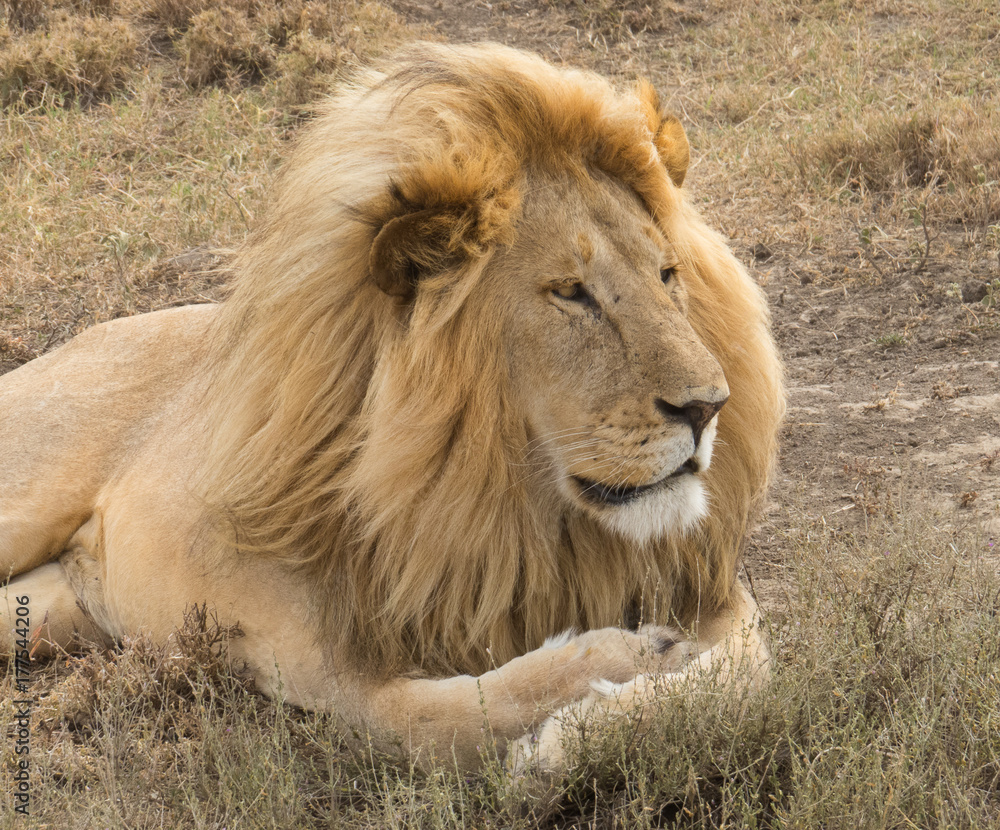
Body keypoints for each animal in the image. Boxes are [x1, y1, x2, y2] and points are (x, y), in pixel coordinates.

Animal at [1, 44, 780, 772]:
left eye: (667, 274)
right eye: (571, 292)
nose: (709, 407)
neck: (518, 507)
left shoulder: (712, 592)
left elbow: (748, 672)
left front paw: (600, 720)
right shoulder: (313, 651)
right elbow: (441, 716)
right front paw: (598, 693)